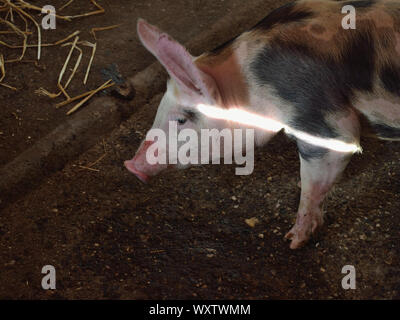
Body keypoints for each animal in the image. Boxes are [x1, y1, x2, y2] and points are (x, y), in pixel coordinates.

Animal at [123, 0, 398, 249]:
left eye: (181, 119)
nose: (130, 165)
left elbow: (313, 182)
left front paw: (293, 241)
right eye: (159, 109)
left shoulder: (325, 123)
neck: (250, 85)